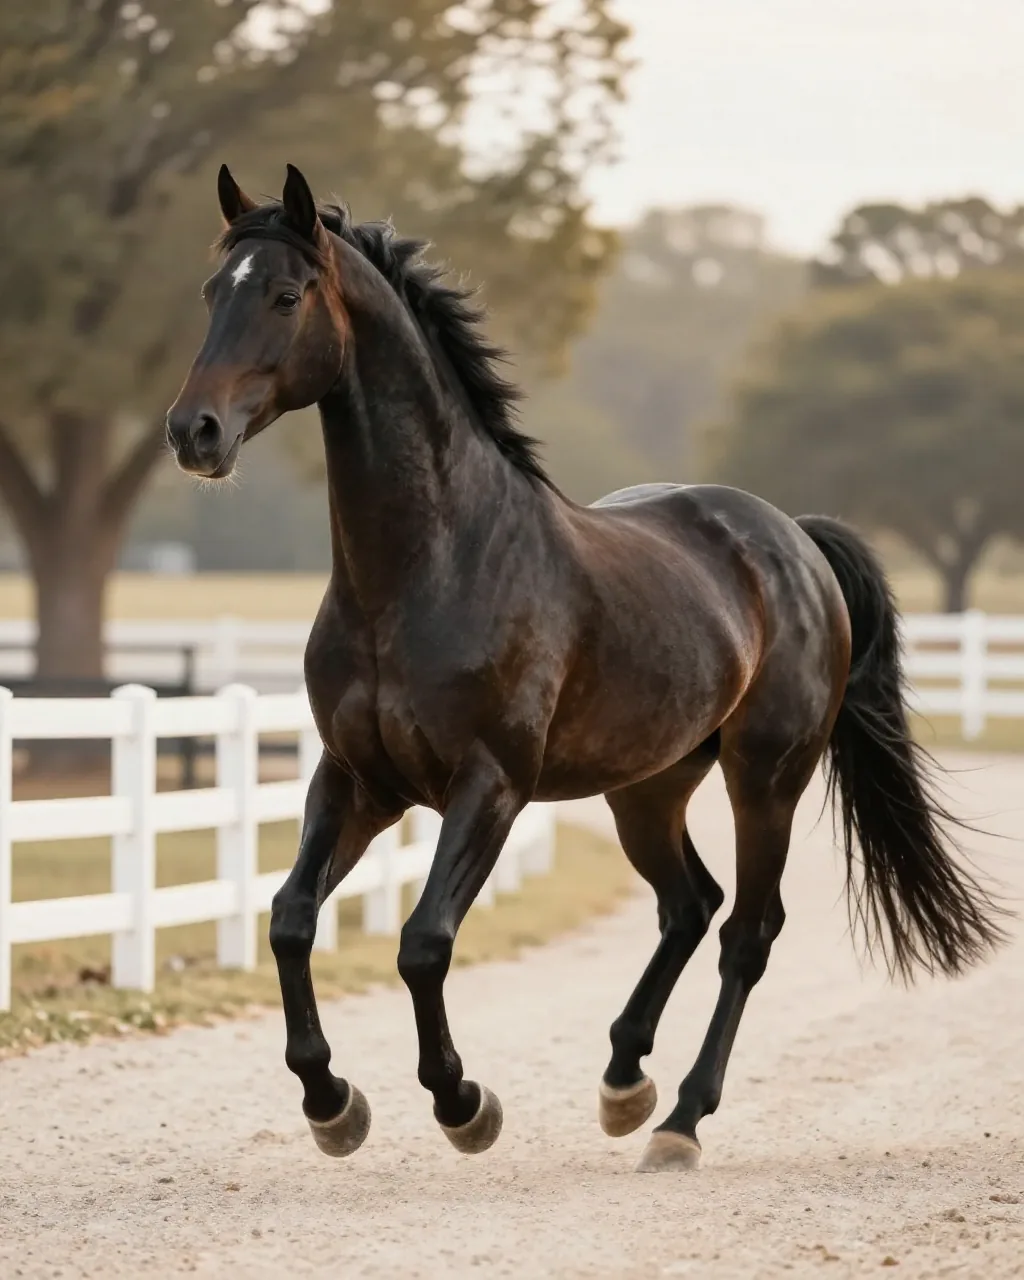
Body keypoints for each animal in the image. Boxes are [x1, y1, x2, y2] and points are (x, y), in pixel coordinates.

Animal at [165, 164, 1003, 1172]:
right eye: (213, 291)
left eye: (287, 296)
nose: (194, 432)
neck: (428, 568)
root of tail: (793, 539)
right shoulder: (358, 779)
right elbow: (290, 920)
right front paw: (333, 1105)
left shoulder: (489, 786)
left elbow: (423, 942)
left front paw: (464, 1105)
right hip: (646, 788)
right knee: (688, 905)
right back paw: (622, 1084)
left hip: (766, 778)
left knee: (746, 932)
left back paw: (679, 1121)